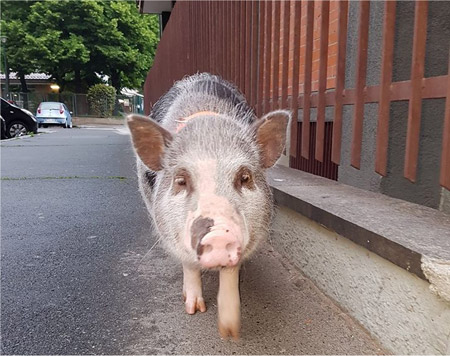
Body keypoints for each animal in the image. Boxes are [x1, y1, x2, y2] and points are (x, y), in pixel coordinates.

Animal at [127, 73, 288, 340]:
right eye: (181, 180)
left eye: (245, 177)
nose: (218, 233)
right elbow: (190, 265)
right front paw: (193, 310)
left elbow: (231, 275)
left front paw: (230, 331)